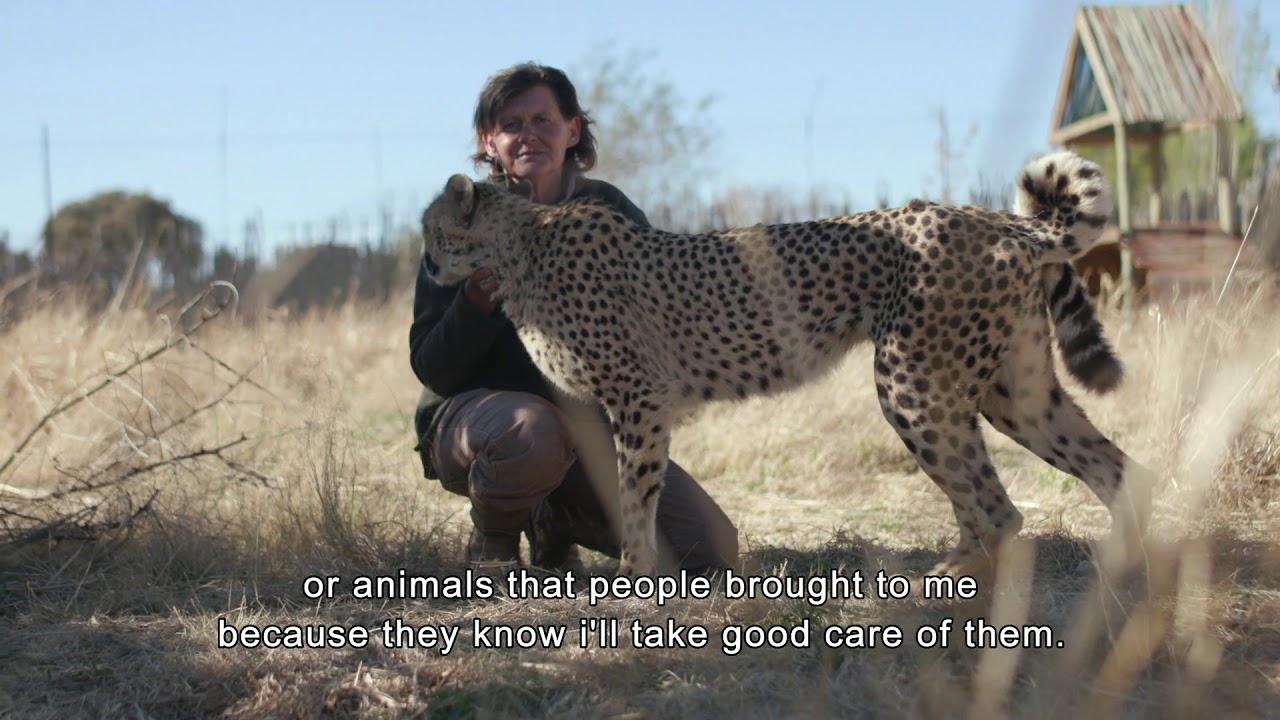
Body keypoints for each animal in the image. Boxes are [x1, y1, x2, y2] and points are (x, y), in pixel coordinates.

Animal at [419, 149, 1154, 581]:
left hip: (914, 384)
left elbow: (634, 490)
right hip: (1013, 392)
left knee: (999, 506)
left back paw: (950, 586)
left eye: (431, 229)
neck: (523, 249)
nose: (424, 263)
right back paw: (1125, 567)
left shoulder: (639, 395)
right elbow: (602, 481)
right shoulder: (590, 404)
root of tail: (994, 218)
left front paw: (635, 576)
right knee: (1111, 466)